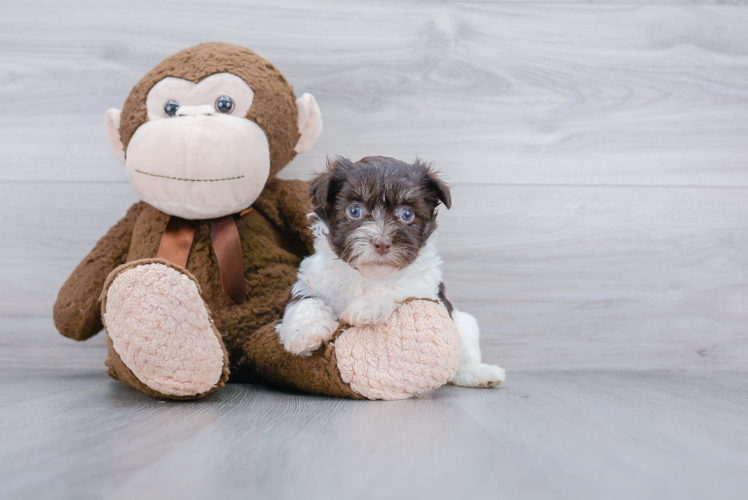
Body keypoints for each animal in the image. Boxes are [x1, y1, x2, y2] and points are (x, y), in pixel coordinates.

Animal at [278, 155, 506, 386]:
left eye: (406, 214)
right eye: (354, 211)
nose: (382, 243)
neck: (366, 276)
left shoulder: (425, 287)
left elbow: (396, 287)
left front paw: (368, 307)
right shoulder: (312, 277)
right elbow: (305, 300)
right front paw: (303, 332)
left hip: (465, 325)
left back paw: (480, 374)